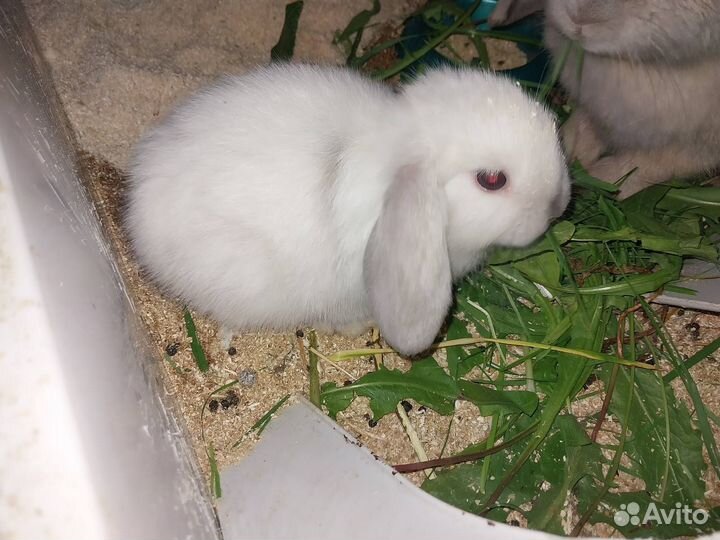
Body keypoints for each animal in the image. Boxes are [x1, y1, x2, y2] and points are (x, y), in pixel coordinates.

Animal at [541, 0, 720, 198]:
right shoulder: (593, 107)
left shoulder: (698, 145)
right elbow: (581, 128)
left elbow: (646, 165)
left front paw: (599, 182)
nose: (577, 17)